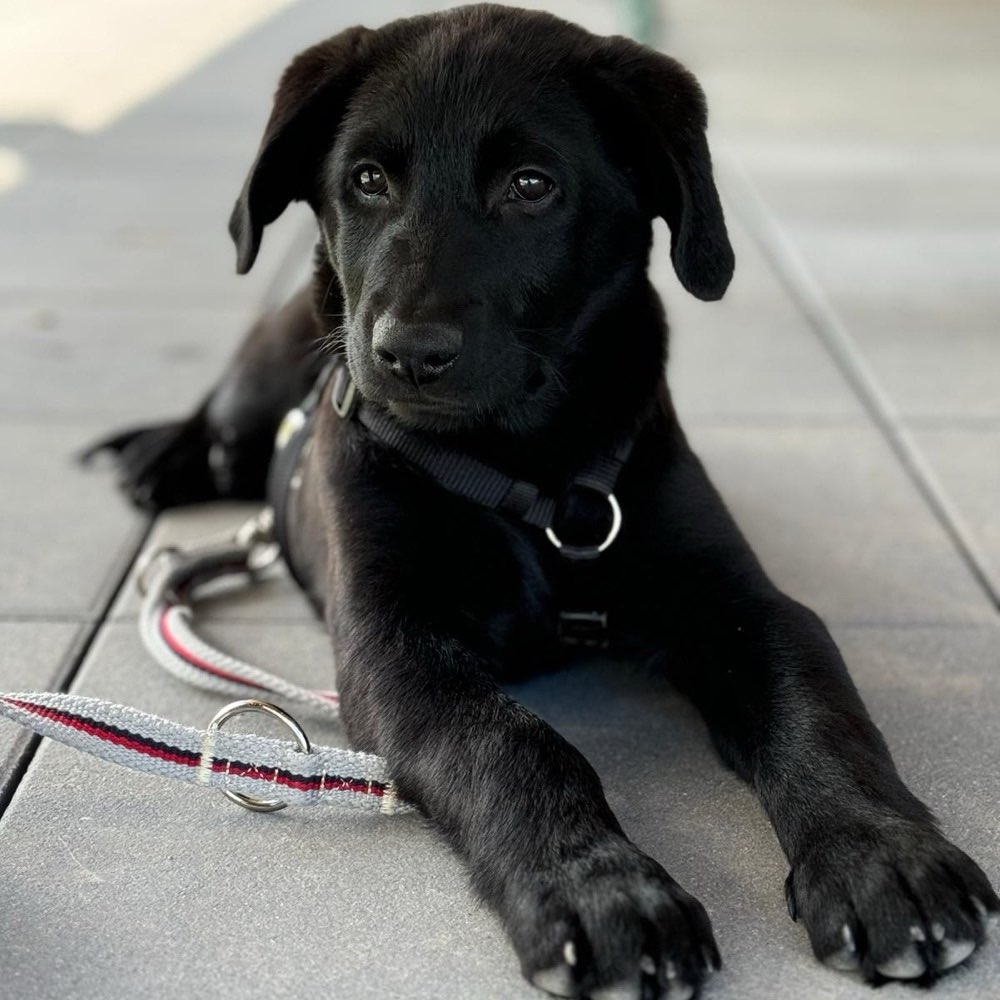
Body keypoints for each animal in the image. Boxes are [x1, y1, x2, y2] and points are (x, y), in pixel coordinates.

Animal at [92, 3, 992, 996]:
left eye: (531, 186)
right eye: (366, 180)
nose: (406, 352)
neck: (526, 474)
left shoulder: (742, 600)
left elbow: (815, 705)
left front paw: (883, 858)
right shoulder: (395, 645)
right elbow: (514, 743)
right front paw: (604, 890)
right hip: (276, 343)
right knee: (223, 420)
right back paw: (162, 458)